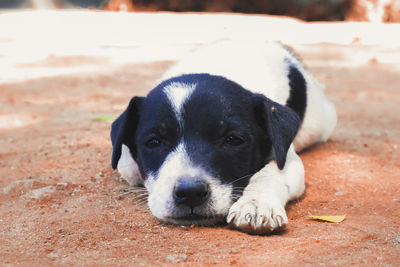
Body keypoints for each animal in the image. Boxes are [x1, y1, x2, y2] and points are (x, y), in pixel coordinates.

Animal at [110, 40, 338, 234]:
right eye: (154, 142)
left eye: (232, 140)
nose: (190, 192)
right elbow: (129, 166)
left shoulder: (285, 156)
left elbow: (270, 174)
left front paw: (256, 204)